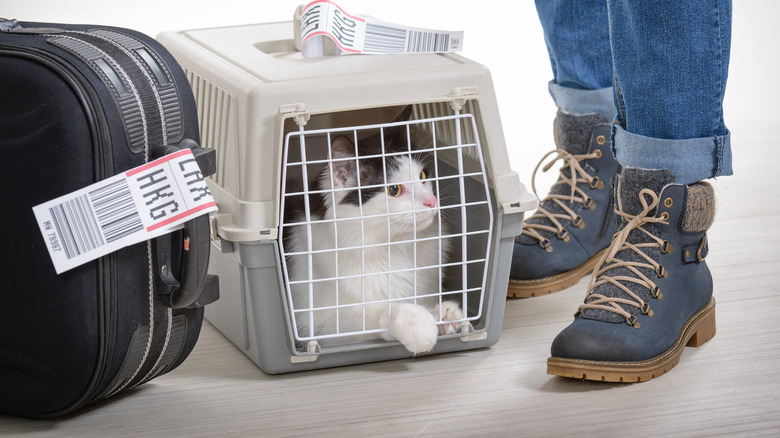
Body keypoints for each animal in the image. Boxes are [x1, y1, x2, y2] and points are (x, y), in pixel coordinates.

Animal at [284, 107, 464, 356]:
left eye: (423, 177)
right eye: (394, 190)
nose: (432, 201)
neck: (395, 247)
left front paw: (443, 314)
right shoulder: (317, 326)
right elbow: (375, 313)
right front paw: (419, 324)